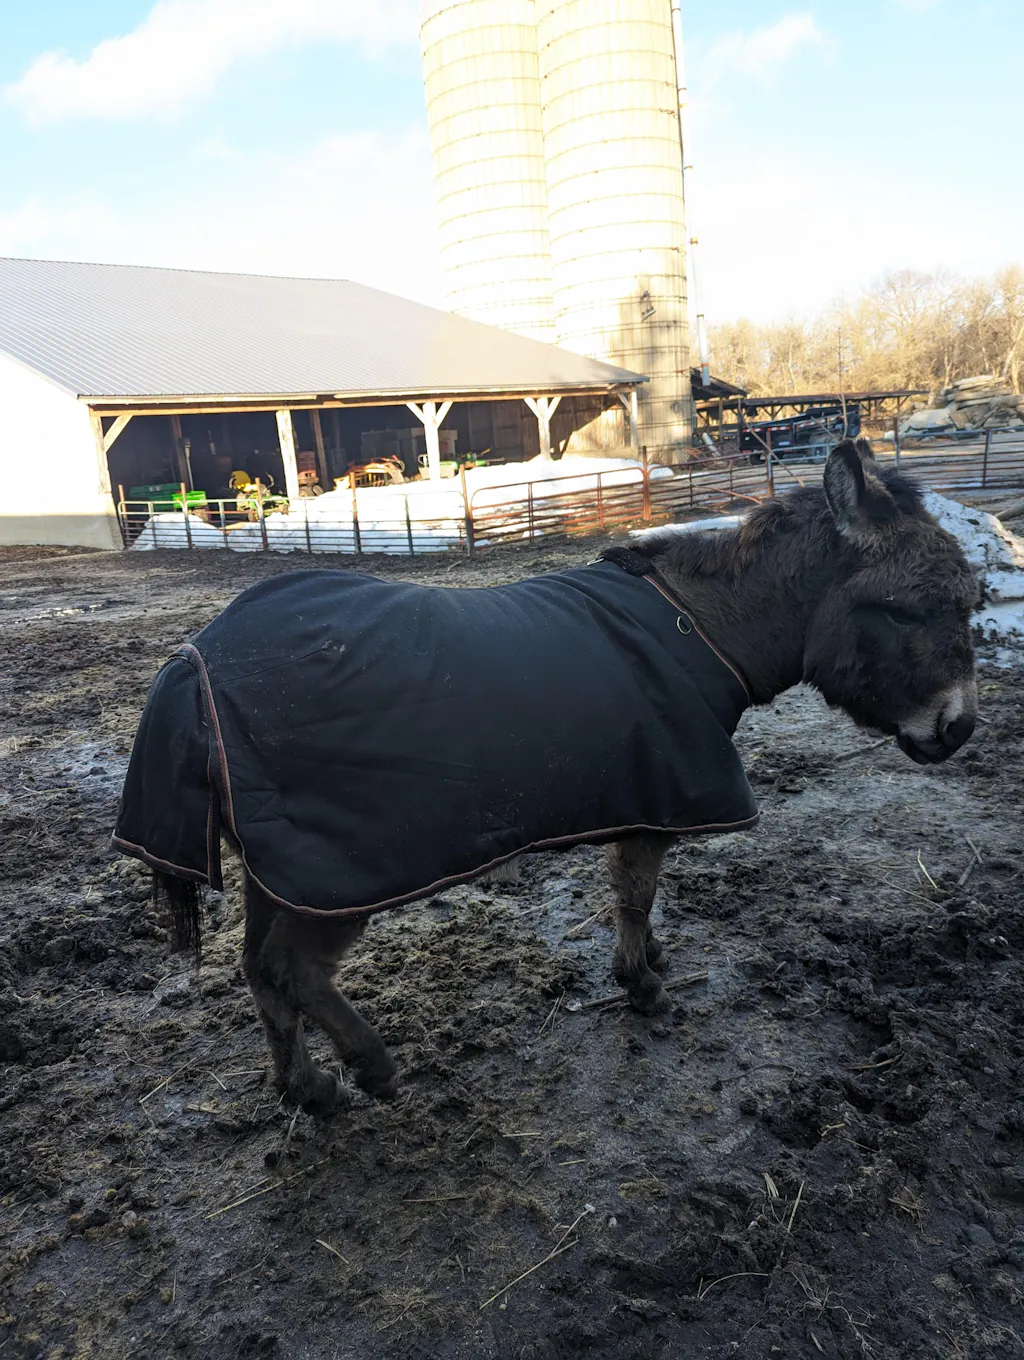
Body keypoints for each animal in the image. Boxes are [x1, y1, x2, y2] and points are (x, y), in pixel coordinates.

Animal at [113, 440, 979, 1115]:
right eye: (906, 609)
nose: (960, 729)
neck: (700, 629)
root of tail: (193, 665)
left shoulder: (641, 794)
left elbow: (636, 893)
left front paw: (652, 963)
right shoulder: (659, 798)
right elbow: (634, 893)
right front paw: (642, 986)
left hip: (282, 874)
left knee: (260, 972)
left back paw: (307, 1090)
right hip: (333, 878)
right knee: (295, 969)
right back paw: (373, 1067)